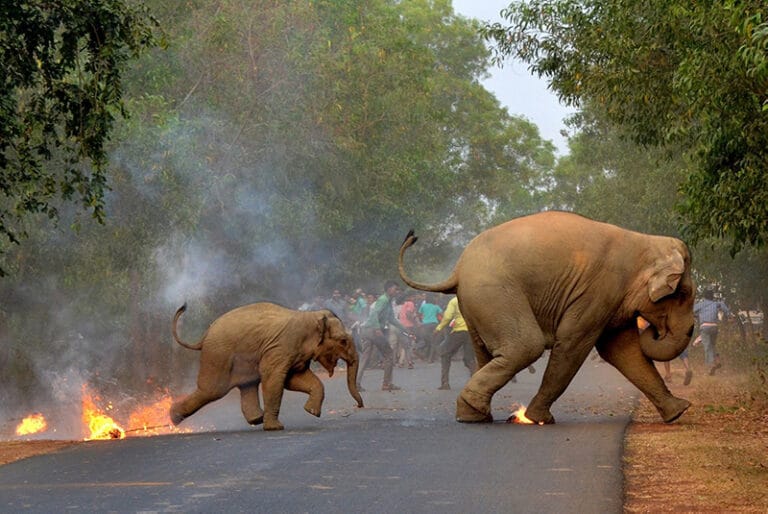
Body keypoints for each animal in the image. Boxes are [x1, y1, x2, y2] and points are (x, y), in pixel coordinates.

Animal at [170, 302, 364, 431]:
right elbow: (273, 377)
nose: (359, 406)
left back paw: (257, 419)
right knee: (213, 389)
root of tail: (205, 335)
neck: (310, 316)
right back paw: (174, 418)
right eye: (343, 341)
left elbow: (294, 379)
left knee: (247, 384)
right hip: (218, 354)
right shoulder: (281, 347)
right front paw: (276, 428)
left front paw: (311, 412)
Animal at [398, 211, 695, 425]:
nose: (654, 330)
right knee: (525, 347)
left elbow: (623, 351)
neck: (645, 241)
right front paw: (538, 419)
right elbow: (573, 344)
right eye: (682, 294)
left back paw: (475, 415)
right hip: (494, 293)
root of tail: (457, 269)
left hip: (475, 305)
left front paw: (680, 411)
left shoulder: (612, 299)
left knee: (487, 353)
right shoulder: (597, 291)